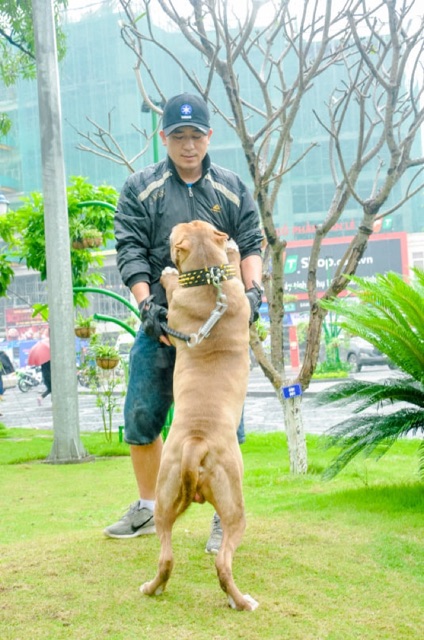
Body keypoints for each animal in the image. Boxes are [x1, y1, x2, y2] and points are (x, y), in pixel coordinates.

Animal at [140, 219, 258, 608]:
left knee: (175, 558)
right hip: (212, 505)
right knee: (209, 561)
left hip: (176, 497)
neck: (209, 280)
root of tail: (197, 443)